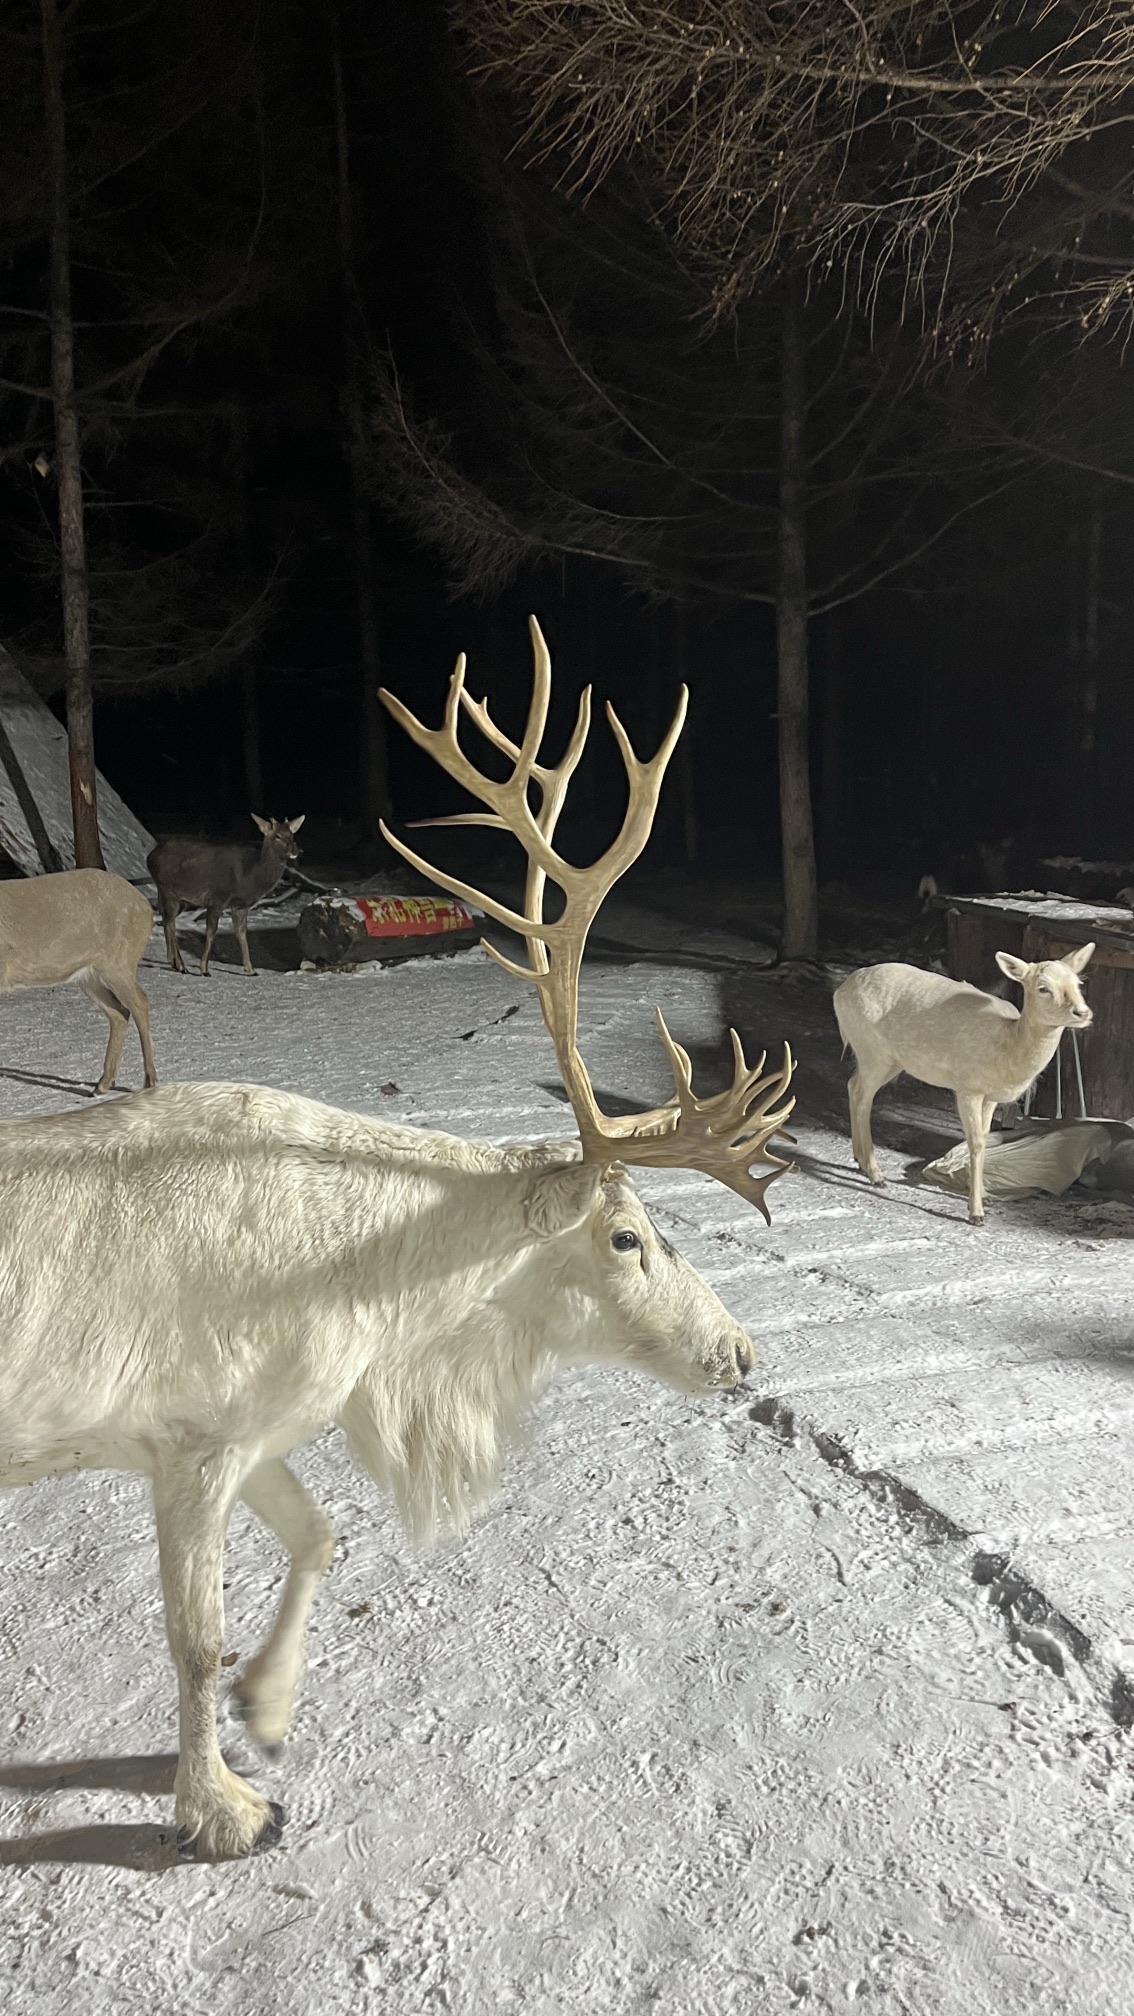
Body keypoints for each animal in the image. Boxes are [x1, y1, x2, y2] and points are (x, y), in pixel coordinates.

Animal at [0, 867, 157, 1093]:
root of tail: (146, 906)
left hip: (119, 962)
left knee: (140, 1002)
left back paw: (149, 1081)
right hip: (90, 976)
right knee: (119, 1013)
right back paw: (102, 1084)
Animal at [147, 814, 305, 977]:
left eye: (292, 835)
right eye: (278, 836)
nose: (296, 850)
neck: (250, 877)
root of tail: (150, 856)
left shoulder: (240, 907)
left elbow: (241, 933)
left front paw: (251, 969)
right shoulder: (217, 899)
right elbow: (211, 932)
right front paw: (204, 969)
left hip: (174, 896)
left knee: (166, 919)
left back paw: (174, 962)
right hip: (169, 890)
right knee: (170, 922)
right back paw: (181, 965)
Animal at [833, 944, 1094, 1224]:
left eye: (1078, 982)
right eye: (1043, 988)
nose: (1082, 1013)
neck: (1007, 1048)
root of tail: (839, 993)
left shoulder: (991, 1096)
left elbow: (985, 1138)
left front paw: (986, 1196)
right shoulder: (968, 1087)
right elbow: (975, 1142)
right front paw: (976, 1212)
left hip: (889, 1059)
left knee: (852, 1085)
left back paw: (860, 1160)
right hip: (872, 1049)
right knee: (862, 1095)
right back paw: (876, 1174)